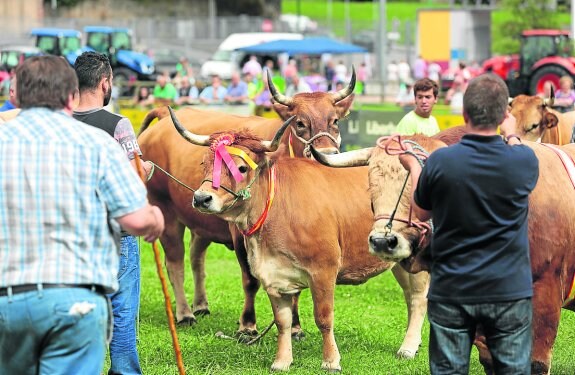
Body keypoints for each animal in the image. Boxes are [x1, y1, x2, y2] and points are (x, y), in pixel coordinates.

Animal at [138, 70, 358, 334]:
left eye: (334, 121)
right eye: (300, 123)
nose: (327, 154)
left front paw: (295, 327)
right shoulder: (240, 232)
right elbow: (250, 280)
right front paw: (247, 325)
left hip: (200, 223)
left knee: (196, 257)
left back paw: (200, 304)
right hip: (165, 212)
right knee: (175, 263)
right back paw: (184, 313)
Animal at [171, 107, 432, 372]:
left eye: (241, 168)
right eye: (205, 163)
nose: (201, 198)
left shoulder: (324, 271)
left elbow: (324, 318)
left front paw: (331, 360)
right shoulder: (274, 278)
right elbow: (283, 322)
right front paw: (282, 361)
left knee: (419, 298)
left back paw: (408, 347)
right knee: (410, 296)